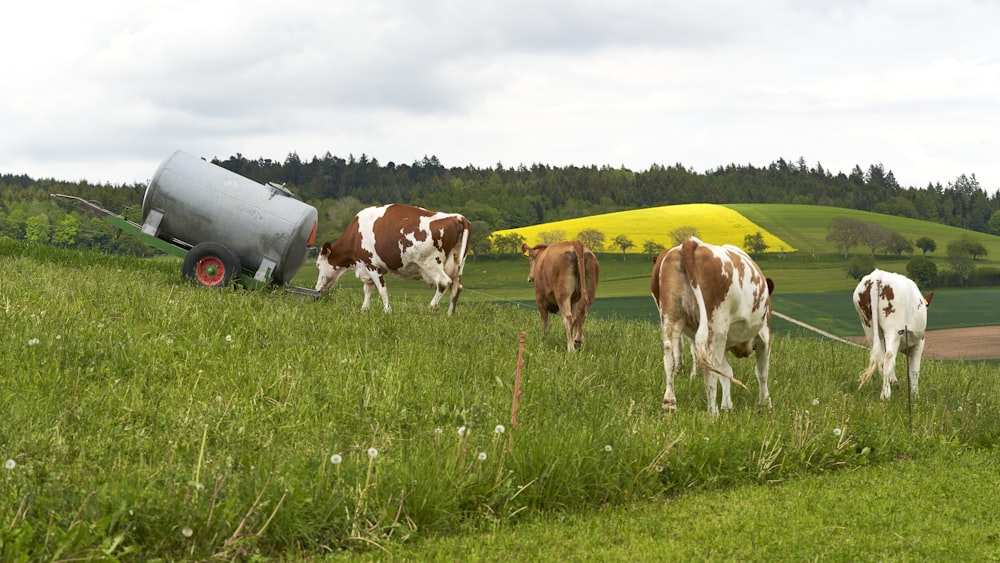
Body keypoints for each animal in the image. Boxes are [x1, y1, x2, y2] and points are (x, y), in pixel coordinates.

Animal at [316, 205, 472, 316]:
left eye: (318, 265)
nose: (317, 288)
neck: (355, 235)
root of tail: (456, 217)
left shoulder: (371, 264)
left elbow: (382, 289)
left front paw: (387, 311)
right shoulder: (366, 267)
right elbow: (367, 289)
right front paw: (364, 309)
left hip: (431, 263)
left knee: (443, 282)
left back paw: (431, 308)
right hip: (458, 264)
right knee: (456, 287)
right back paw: (449, 314)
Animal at [652, 236, 776, 416]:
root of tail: (691, 242)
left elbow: (726, 373)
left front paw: (727, 405)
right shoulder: (764, 335)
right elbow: (762, 372)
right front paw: (765, 404)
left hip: (671, 318)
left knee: (670, 359)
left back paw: (669, 404)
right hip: (716, 327)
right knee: (710, 367)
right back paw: (712, 412)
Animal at [852, 268, 928, 400]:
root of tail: (877, 275)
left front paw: (895, 383)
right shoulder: (920, 342)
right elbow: (914, 370)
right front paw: (915, 396)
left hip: (869, 328)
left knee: (880, 360)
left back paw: (887, 388)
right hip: (893, 329)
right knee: (888, 358)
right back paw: (885, 395)